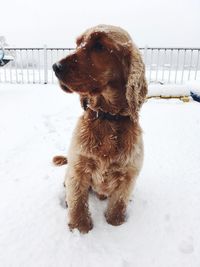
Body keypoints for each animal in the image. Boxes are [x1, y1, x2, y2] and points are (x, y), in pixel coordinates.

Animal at [52, 25, 148, 234]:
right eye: (78, 43)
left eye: (99, 46)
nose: (55, 67)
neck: (108, 117)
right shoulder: (79, 168)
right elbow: (78, 201)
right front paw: (80, 228)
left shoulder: (128, 175)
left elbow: (119, 203)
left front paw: (116, 224)